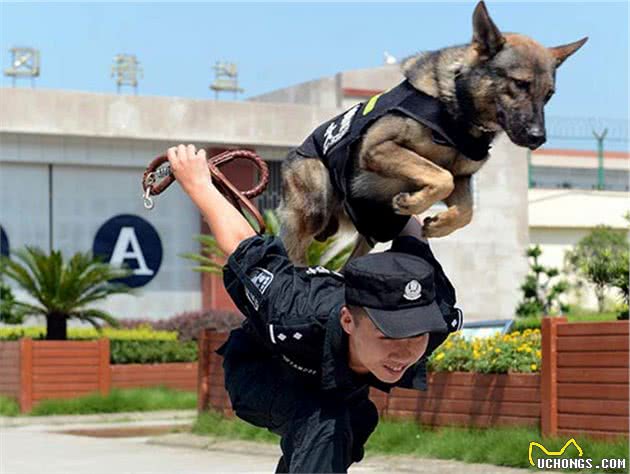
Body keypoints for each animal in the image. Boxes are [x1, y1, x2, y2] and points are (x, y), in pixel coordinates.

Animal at [278, 1, 592, 264]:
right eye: (520, 84)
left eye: (548, 95)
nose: (538, 138)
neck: (458, 112)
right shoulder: (379, 148)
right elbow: (442, 178)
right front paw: (417, 202)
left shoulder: (463, 178)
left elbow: (466, 210)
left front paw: (440, 224)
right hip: (315, 208)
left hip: (373, 231)